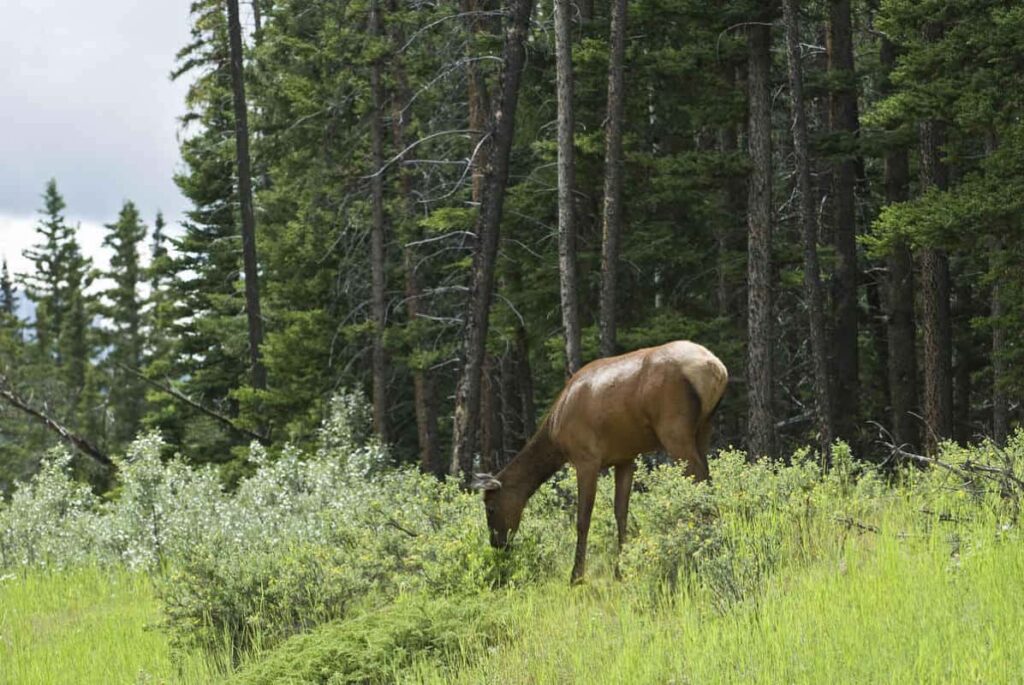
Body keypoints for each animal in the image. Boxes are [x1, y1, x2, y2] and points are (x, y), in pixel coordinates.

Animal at [471, 339, 729, 581]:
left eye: (490, 508)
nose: (498, 544)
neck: (555, 434)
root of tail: (717, 369)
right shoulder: (625, 458)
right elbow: (621, 513)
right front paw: (620, 571)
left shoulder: (586, 458)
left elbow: (582, 519)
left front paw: (576, 576)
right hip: (704, 428)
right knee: (708, 480)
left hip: (674, 430)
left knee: (699, 480)